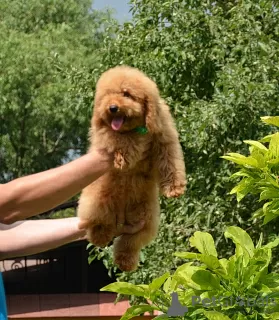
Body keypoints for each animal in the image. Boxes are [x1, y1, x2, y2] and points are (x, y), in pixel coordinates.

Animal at [76, 66, 187, 272]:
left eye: (126, 93)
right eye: (107, 96)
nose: (112, 108)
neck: (135, 127)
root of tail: (123, 210)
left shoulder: (165, 138)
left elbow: (171, 162)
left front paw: (174, 188)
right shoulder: (106, 134)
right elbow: (120, 139)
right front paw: (124, 156)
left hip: (145, 218)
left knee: (130, 241)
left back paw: (125, 260)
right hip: (96, 201)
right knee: (98, 223)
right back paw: (100, 235)